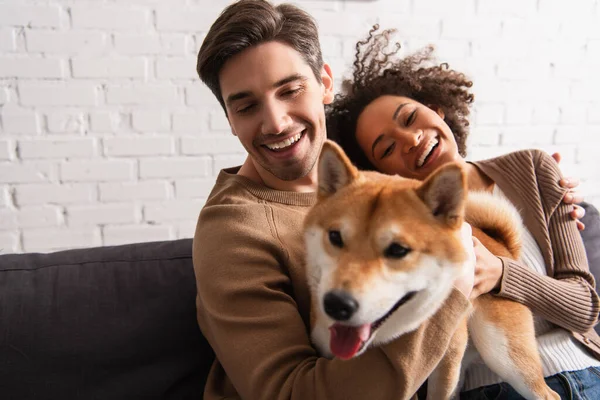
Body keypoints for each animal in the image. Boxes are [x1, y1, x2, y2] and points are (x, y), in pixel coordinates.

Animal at [304, 141, 556, 400]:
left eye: (398, 250)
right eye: (335, 237)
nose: (337, 304)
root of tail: (499, 244)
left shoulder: (447, 362)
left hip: (503, 355)